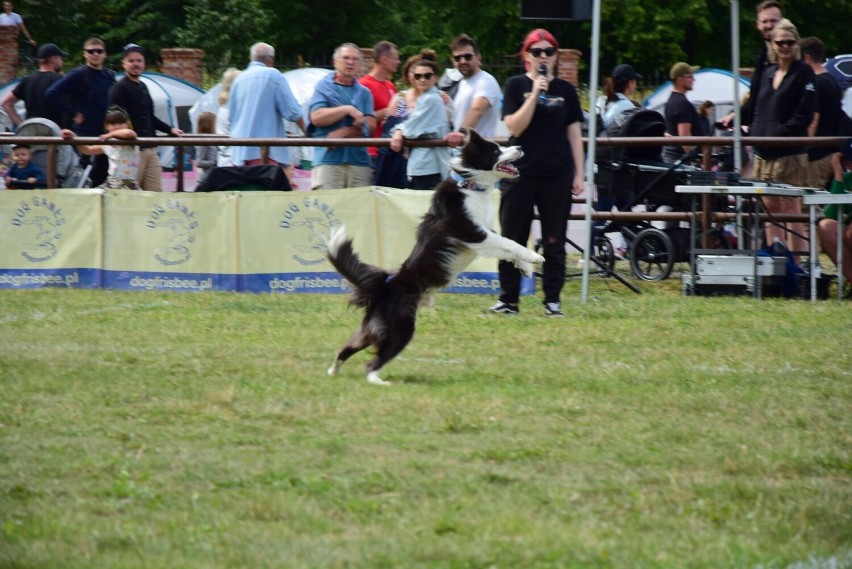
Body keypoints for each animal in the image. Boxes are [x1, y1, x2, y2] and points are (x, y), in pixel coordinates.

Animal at [322, 129, 544, 384]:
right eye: (496, 150)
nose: (520, 147)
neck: (469, 185)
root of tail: (384, 289)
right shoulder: (472, 232)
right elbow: (509, 242)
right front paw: (535, 258)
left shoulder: (486, 231)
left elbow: (507, 245)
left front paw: (525, 268)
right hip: (401, 328)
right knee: (372, 363)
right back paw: (382, 382)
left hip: (371, 330)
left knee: (346, 348)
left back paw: (332, 372)